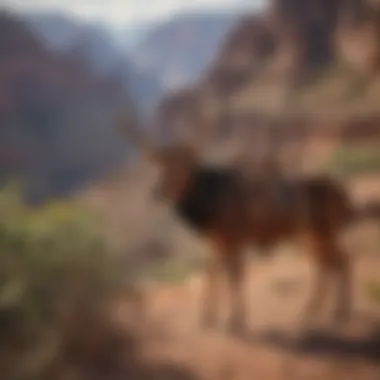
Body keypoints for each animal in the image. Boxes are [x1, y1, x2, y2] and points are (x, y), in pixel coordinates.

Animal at [118, 96, 372, 334]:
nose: (158, 192)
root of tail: (346, 199)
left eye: (184, 167)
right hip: (312, 236)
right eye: (161, 167)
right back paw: (317, 312)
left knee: (341, 261)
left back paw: (338, 312)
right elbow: (212, 273)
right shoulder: (216, 242)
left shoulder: (234, 238)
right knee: (329, 264)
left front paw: (235, 321)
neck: (209, 203)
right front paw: (208, 319)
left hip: (324, 232)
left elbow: (234, 275)